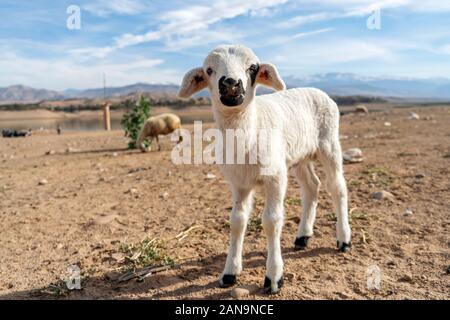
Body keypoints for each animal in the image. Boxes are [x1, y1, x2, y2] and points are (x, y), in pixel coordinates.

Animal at [177, 43, 352, 294]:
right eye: (209, 70)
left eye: (253, 67)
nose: (230, 83)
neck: (247, 131)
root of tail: (318, 91)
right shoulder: (239, 183)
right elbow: (237, 222)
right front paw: (229, 273)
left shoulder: (275, 177)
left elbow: (271, 221)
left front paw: (274, 277)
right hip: (299, 156)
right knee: (312, 187)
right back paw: (303, 237)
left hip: (329, 144)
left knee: (337, 188)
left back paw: (344, 239)